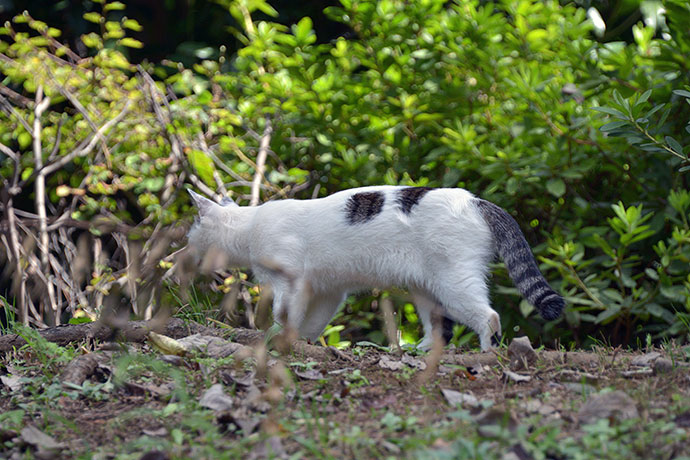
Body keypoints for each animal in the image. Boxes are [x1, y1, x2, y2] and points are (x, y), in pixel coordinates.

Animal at [185, 185, 560, 350]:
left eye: (192, 229)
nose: (184, 244)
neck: (249, 226)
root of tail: (476, 200)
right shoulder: (327, 291)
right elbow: (312, 321)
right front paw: (302, 341)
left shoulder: (290, 282)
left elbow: (284, 313)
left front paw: (277, 337)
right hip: (425, 288)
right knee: (440, 329)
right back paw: (416, 351)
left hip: (453, 281)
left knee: (488, 317)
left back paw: (485, 354)